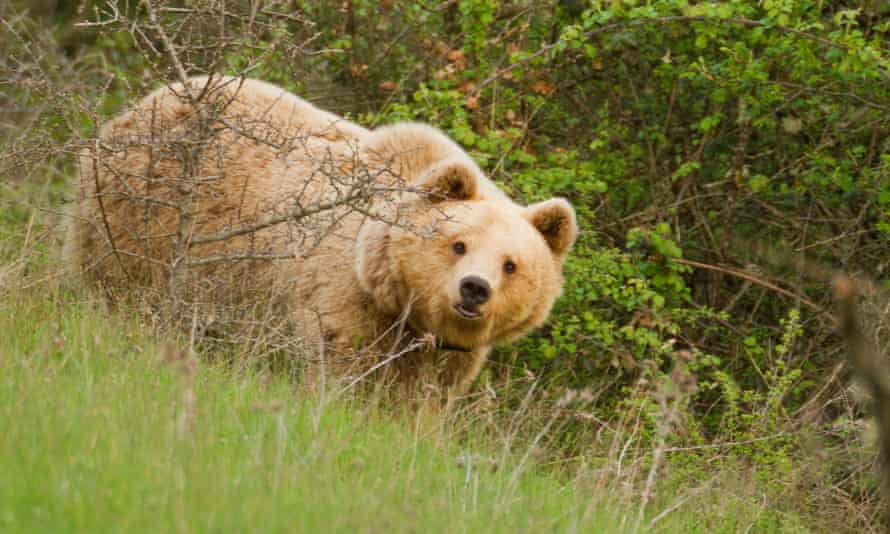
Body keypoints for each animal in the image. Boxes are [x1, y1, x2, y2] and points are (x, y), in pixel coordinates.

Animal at [62, 77, 576, 400]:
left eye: (511, 264)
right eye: (458, 244)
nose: (474, 289)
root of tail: (146, 101)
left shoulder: (448, 355)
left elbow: (421, 400)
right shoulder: (343, 294)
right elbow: (342, 365)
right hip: (136, 220)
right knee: (120, 291)